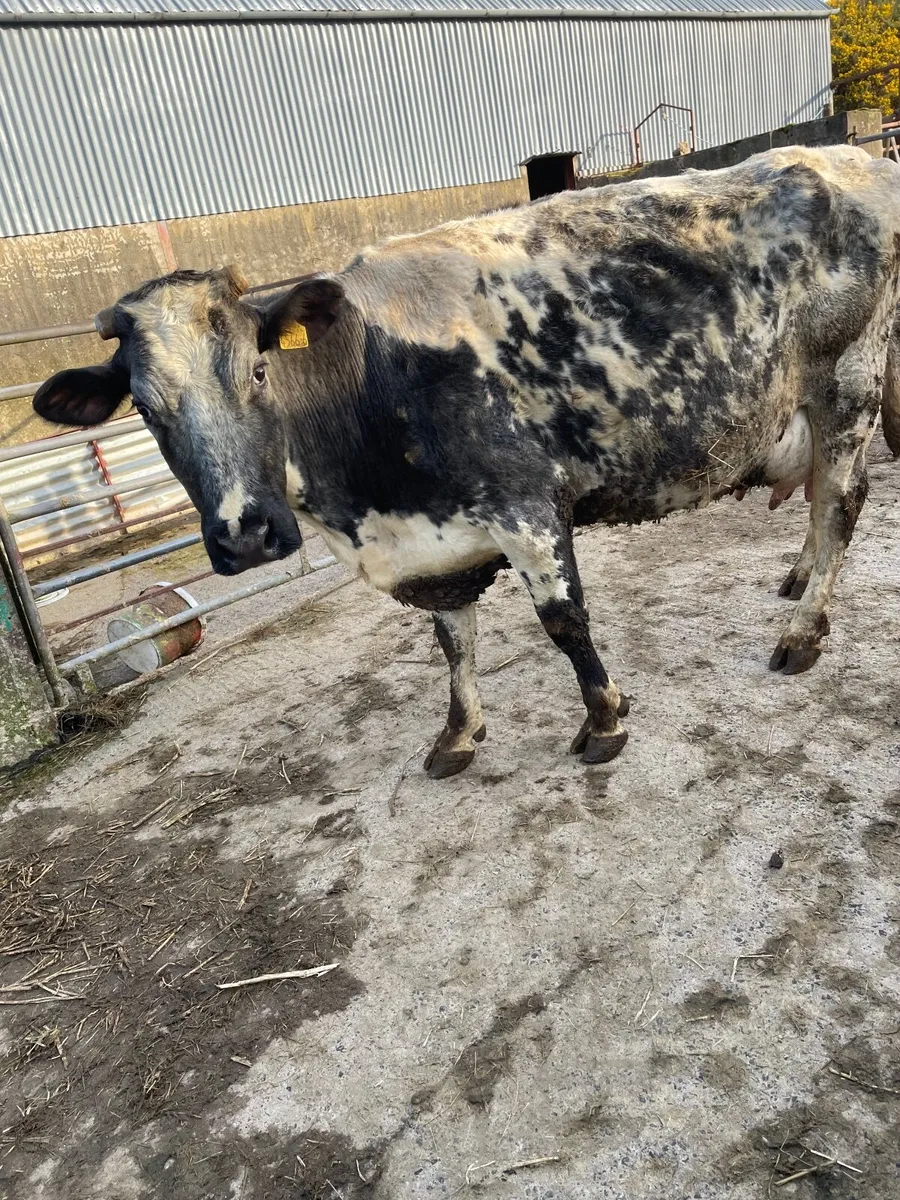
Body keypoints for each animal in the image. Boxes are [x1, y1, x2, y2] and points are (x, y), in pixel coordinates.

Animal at [34, 145, 900, 778]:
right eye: (146, 410)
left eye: (256, 371)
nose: (245, 534)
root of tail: (844, 156)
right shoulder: (432, 545)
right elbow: (453, 642)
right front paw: (458, 733)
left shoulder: (525, 504)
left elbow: (564, 621)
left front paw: (604, 719)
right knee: (821, 506)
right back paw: (798, 586)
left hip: (847, 390)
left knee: (840, 505)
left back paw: (803, 632)